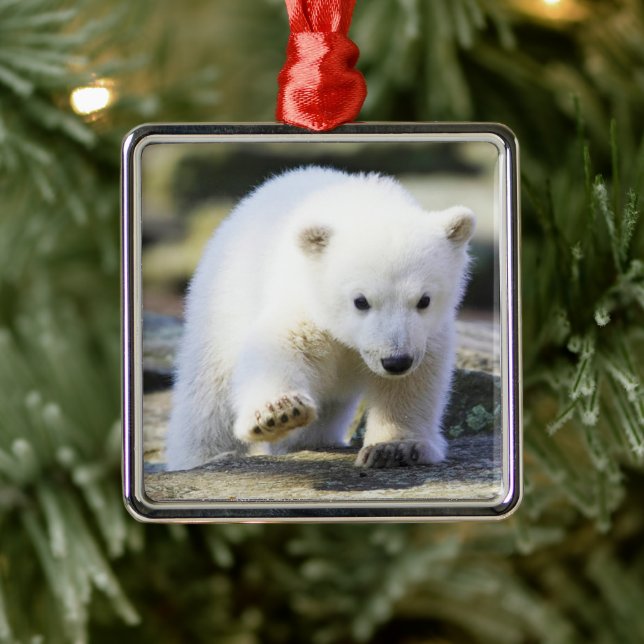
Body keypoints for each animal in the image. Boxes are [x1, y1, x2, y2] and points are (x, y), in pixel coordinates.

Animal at [165, 166, 475, 471]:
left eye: (424, 300)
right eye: (360, 301)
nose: (396, 361)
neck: (363, 205)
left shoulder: (426, 334)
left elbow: (413, 381)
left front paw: (393, 448)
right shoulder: (306, 300)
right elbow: (280, 345)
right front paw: (279, 413)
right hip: (222, 304)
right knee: (208, 397)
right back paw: (205, 456)